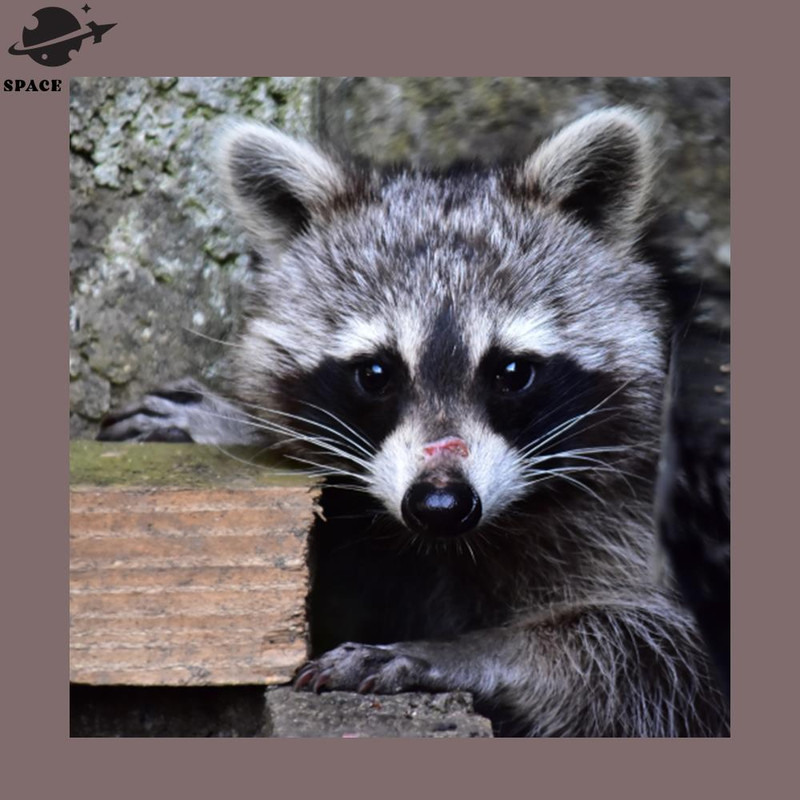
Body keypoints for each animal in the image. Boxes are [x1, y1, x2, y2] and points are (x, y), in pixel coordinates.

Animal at [99, 108, 729, 736]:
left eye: (512, 372)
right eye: (375, 372)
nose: (441, 505)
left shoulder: (644, 510)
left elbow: (654, 654)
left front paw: (462, 650)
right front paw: (238, 427)